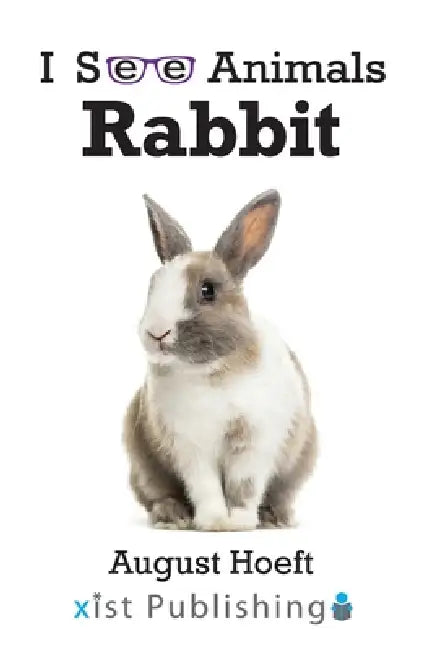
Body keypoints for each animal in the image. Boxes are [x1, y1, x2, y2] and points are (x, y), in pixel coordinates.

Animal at [124, 189, 317, 531]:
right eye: (152, 286)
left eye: (207, 290)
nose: (156, 332)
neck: (211, 372)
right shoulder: (190, 446)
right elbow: (206, 486)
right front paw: (214, 521)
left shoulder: (254, 440)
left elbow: (244, 486)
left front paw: (237, 522)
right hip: (143, 465)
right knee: (157, 494)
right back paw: (172, 517)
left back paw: (277, 518)